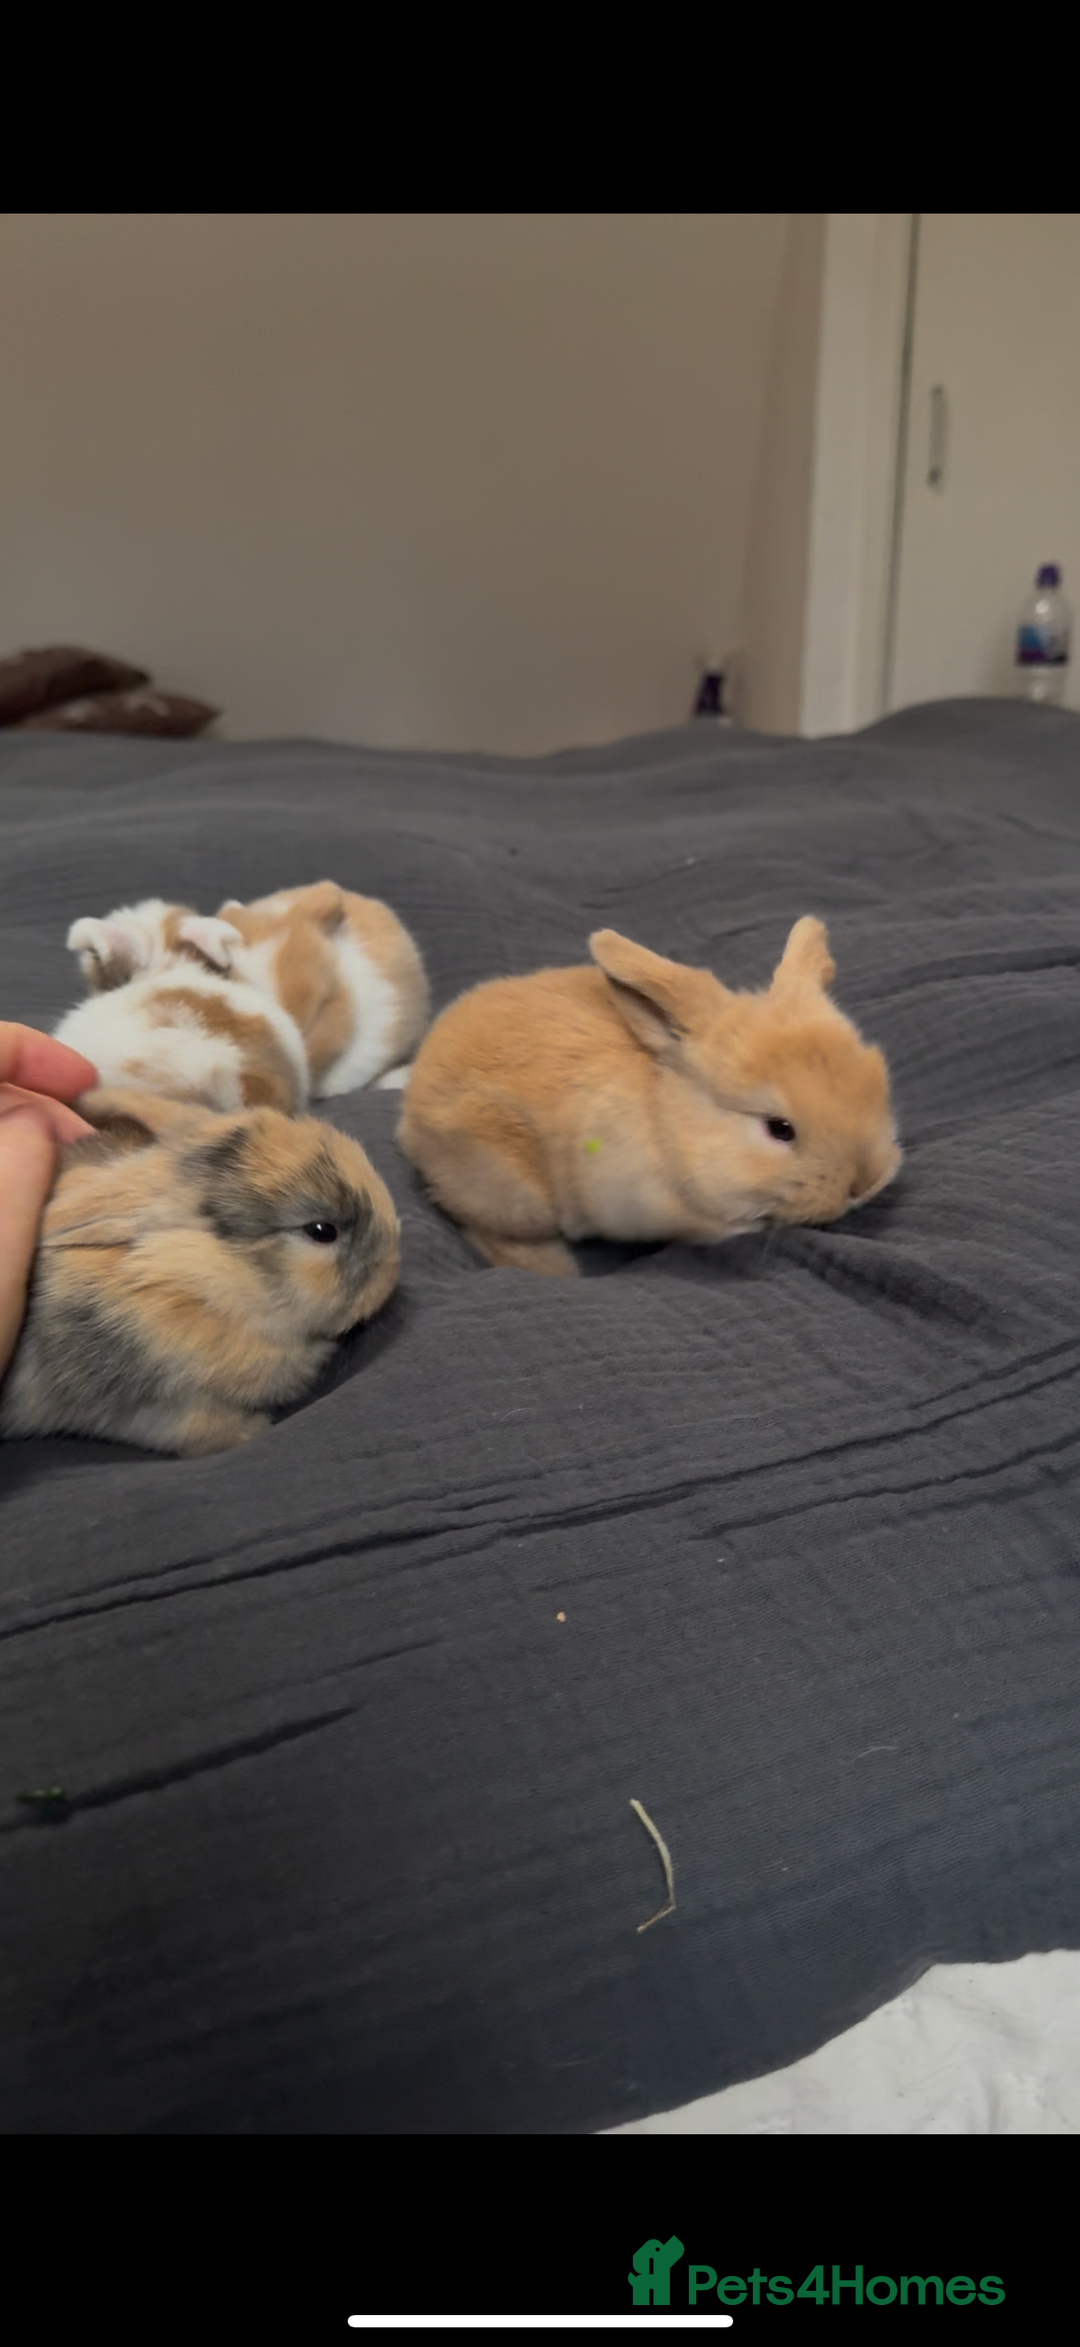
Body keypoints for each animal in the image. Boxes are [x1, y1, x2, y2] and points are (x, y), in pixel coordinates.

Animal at [0, 1086, 401, 1455]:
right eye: (321, 1231)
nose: (391, 1272)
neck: (208, 1286)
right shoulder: (156, 1406)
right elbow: (200, 1430)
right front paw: (255, 1429)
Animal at [398, 918, 902, 1277]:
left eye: (876, 1081)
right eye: (780, 1129)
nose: (865, 1182)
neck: (669, 1119)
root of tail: (408, 1123)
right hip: (512, 1191)